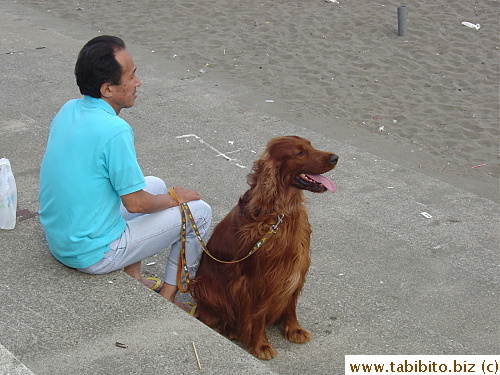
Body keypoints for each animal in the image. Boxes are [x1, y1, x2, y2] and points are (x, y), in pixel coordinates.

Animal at [189, 137, 338, 360]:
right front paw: (261, 344)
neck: (282, 212)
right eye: (299, 153)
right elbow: (257, 315)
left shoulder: (295, 269)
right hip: (204, 286)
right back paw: (231, 329)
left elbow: (291, 303)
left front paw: (294, 329)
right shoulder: (258, 279)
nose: (335, 157)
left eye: (310, 145)